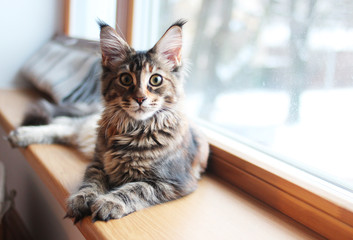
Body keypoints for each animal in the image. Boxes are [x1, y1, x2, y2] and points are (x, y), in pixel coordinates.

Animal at [7, 19, 209, 222]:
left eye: (156, 80)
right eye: (126, 79)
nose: (140, 98)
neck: (133, 130)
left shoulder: (173, 182)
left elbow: (136, 189)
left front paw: (109, 202)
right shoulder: (98, 163)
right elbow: (91, 182)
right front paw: (82, 198)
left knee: (66, 126)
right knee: (65, 124)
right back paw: (22, 134)